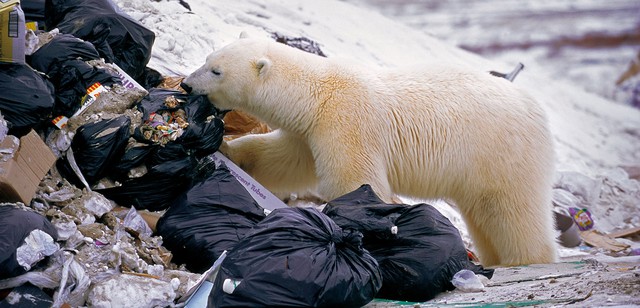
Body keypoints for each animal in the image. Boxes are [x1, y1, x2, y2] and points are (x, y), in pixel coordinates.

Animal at [182, 36, 556, 268]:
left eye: (216, 70)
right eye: (208, 58)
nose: (186, 83)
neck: (317, 93)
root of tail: (536, 109)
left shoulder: (347, 121)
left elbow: (353, 179)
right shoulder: (310, 133)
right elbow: (282, 159)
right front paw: (226, 150)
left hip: (500, 151)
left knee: (510, 209)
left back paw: (524, 259)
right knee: (482, 214)